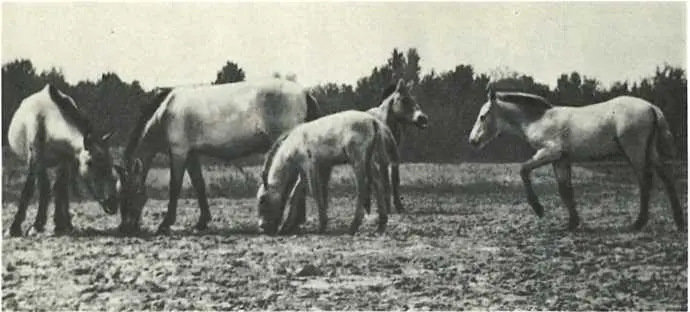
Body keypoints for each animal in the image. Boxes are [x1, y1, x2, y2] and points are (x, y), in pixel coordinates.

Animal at [6, 84, 119, 236]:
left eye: (111, 162)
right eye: (89, 163)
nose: (112, 203)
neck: (47, 122)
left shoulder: (65, 161)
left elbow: (59, 189)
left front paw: (58, 224)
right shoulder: (36, 159)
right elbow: (36, 189)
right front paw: (23, 227)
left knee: (62, 190)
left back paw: (67, 224)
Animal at [119, 78, 322, 234]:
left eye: (127, 192)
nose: (124, 228)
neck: (166, 111)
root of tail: (304, 93)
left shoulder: (179, 152)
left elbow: (174, 187)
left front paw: (165, 223)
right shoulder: (191, 154)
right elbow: (199, 185)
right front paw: (202, 222)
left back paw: (290, 222)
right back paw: (294, 222)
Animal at [256, 109, 398, 234]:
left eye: (262, 200)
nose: (262, 228)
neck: (293, 145)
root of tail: (373, 121)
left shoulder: (309, 164)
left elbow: (314, 192)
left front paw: (322, 225)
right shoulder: (307, 170)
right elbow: (296, 193)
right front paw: (286, 226)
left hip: (357, 159)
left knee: (362, 187)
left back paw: (354, 226)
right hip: (369, 160)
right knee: (377, 182)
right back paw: (381, 225)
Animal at [362, 78, 428, 212]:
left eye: (414, 98)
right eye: (404, 99)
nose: (423, 118)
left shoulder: (395, 158)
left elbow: (395, 179)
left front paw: (399, 206)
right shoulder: (382, 158)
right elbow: (385, 181)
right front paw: (387, 207)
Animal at [468, 85, 684, 232]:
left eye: (483, 116)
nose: (473, 141)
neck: (539, 120)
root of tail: (651, 107)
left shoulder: (550, 153)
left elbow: (524, 170)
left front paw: (539, 209)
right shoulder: (561, 159)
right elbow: (565, 190)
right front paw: (572, 223)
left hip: (635, 151)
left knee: (645, 181)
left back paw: (638, 223)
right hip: (651, 151)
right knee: (667, 178)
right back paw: (679, 222)